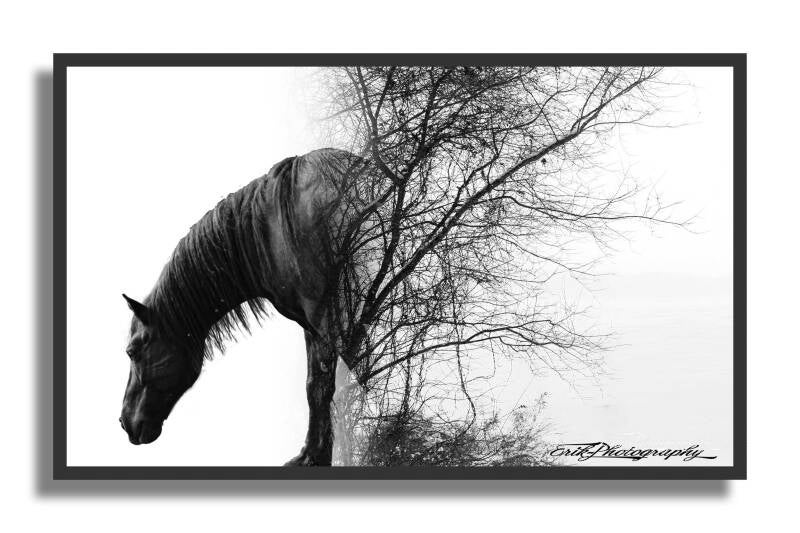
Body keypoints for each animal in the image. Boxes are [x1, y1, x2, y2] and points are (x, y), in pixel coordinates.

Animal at [119, 148, 373, 466]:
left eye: (131, 351)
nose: (124, 422)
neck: (274, 228)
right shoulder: (313, 324)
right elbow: (315, 384)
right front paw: (311, 455)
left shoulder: (325, 314)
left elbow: (327, 384)